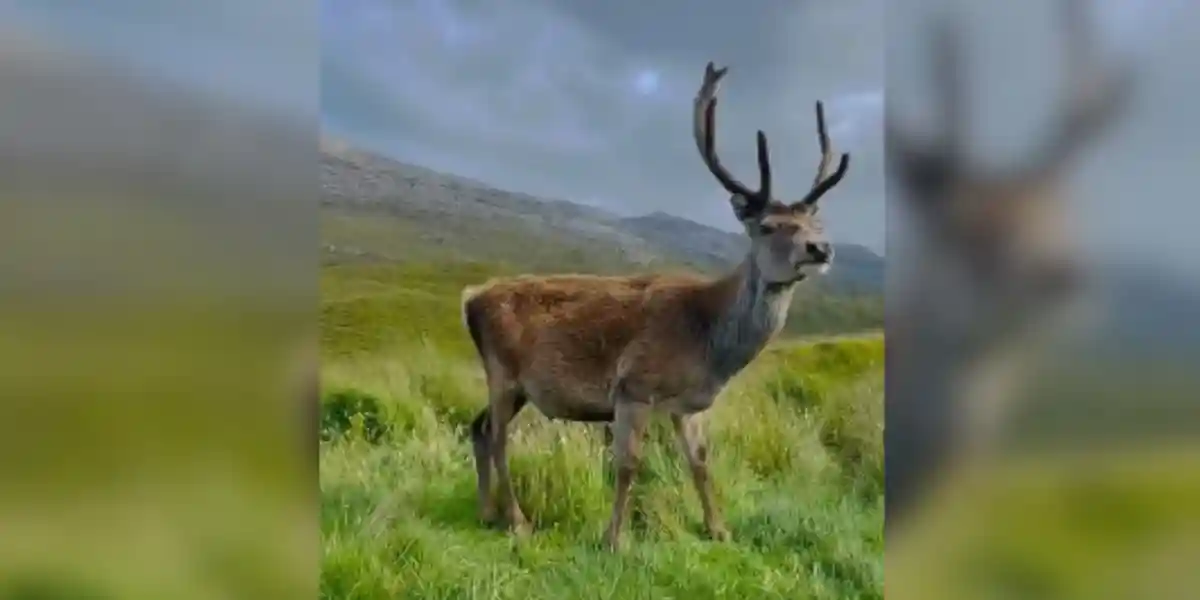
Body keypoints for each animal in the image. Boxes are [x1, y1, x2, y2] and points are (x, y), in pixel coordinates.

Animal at [458, 62, 854, 552]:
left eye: (815, 223)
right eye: (767, 225)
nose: (821, 248)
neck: (708, 343)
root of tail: (470, 299)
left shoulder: (691, 405)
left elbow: (700, 461)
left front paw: (719, 529)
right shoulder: (633, 387)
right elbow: (628, 464)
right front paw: (613, 539)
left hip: (516, 387)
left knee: (477, 428)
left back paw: (486, 511)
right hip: (503, 371)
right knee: (497, 438)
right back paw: (518, 520)